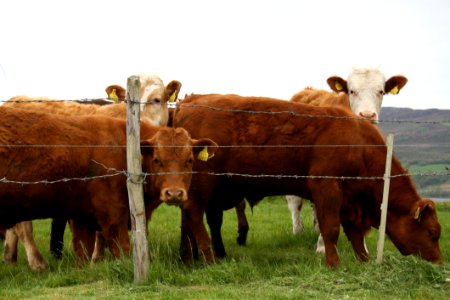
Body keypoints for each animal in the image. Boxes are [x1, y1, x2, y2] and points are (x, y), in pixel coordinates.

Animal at [0, 106, 216, 266]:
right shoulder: (113, 216)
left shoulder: (82, 217)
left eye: (189, 160)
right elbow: (122, 250)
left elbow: (82, 252)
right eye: (157, 160)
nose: (174, 193)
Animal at [173, 93, 442, 268]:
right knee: (193, 213)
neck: (359, 145)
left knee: (190, 218)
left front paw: (364, 262)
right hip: (204, 182)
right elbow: (331, 230)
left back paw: (188, 258)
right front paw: (334, 263)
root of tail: (189, 101)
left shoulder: (350, 200)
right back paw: (208, 257)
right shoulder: (326, 187)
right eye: (431, 233)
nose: (439, 262)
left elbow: (355, 233)